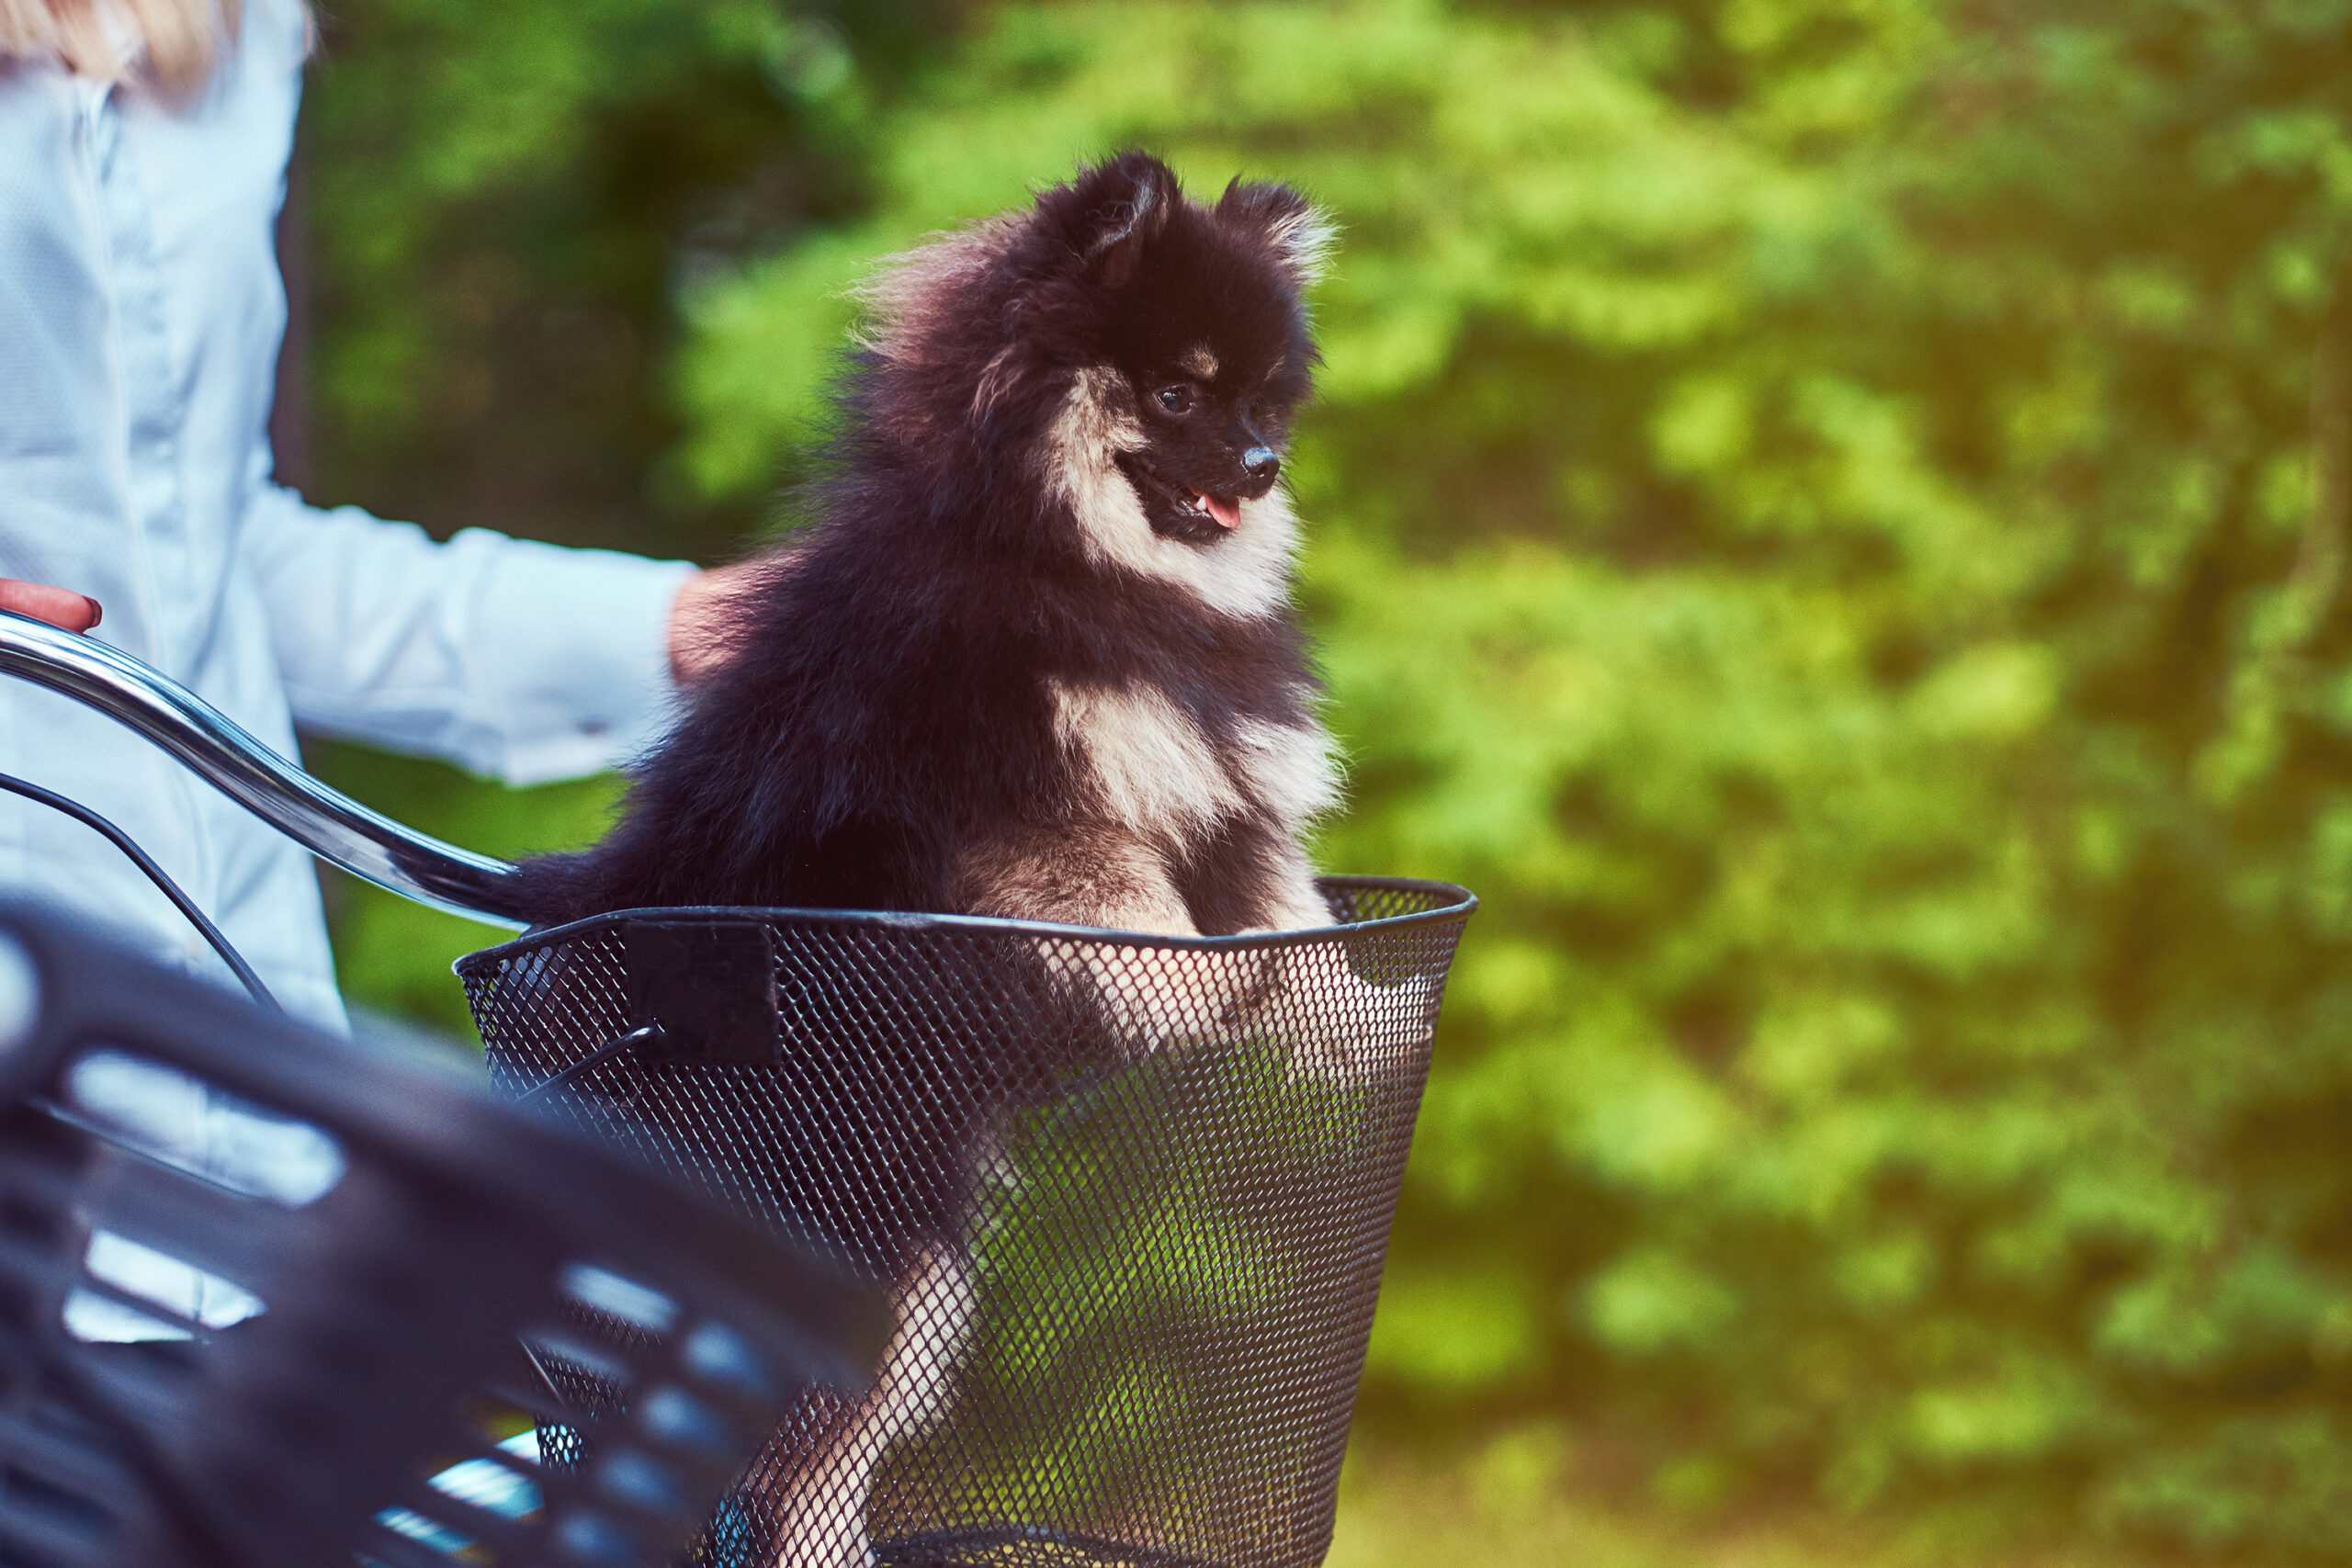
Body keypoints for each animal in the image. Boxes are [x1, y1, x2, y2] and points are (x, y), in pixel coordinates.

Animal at [505, 156, 1374, 1568]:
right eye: (1176, 391)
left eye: (1259, 395)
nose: (1264, 460)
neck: (1064, 558)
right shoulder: (1033, 815)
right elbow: (1145, 918)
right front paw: (1207, 996)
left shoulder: (1224, 796)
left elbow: (1290, 912)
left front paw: (1363, 1015)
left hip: (906, 1274)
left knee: (808, 1476)